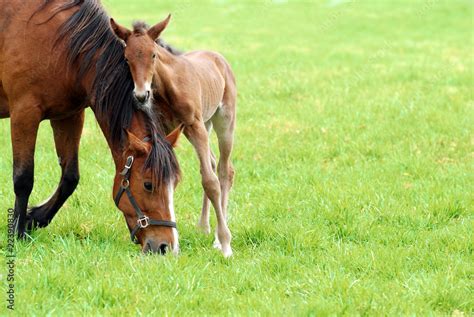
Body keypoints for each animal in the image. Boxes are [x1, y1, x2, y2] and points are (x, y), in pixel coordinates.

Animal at [0, 0, 182, 253]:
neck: (64, 44)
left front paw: (34, 218)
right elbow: (23, 178)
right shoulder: (24, 113)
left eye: (174, 184)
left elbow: (70, 177)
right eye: (148, 185)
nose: (166, 246)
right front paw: (18, 233)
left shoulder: (69, 116)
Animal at [111, 15, 237, 256]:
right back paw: (204, 226)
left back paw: (219, 237)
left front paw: (226, 244)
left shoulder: (195, 125)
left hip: (223, 121)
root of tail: (219, 58)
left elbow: (210, 181)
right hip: (202, 126)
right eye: (126, 58)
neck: (168, 85)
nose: (141, 95)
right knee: (212, 163)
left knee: (224, 170)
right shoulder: (167, 129)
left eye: (153, 54)